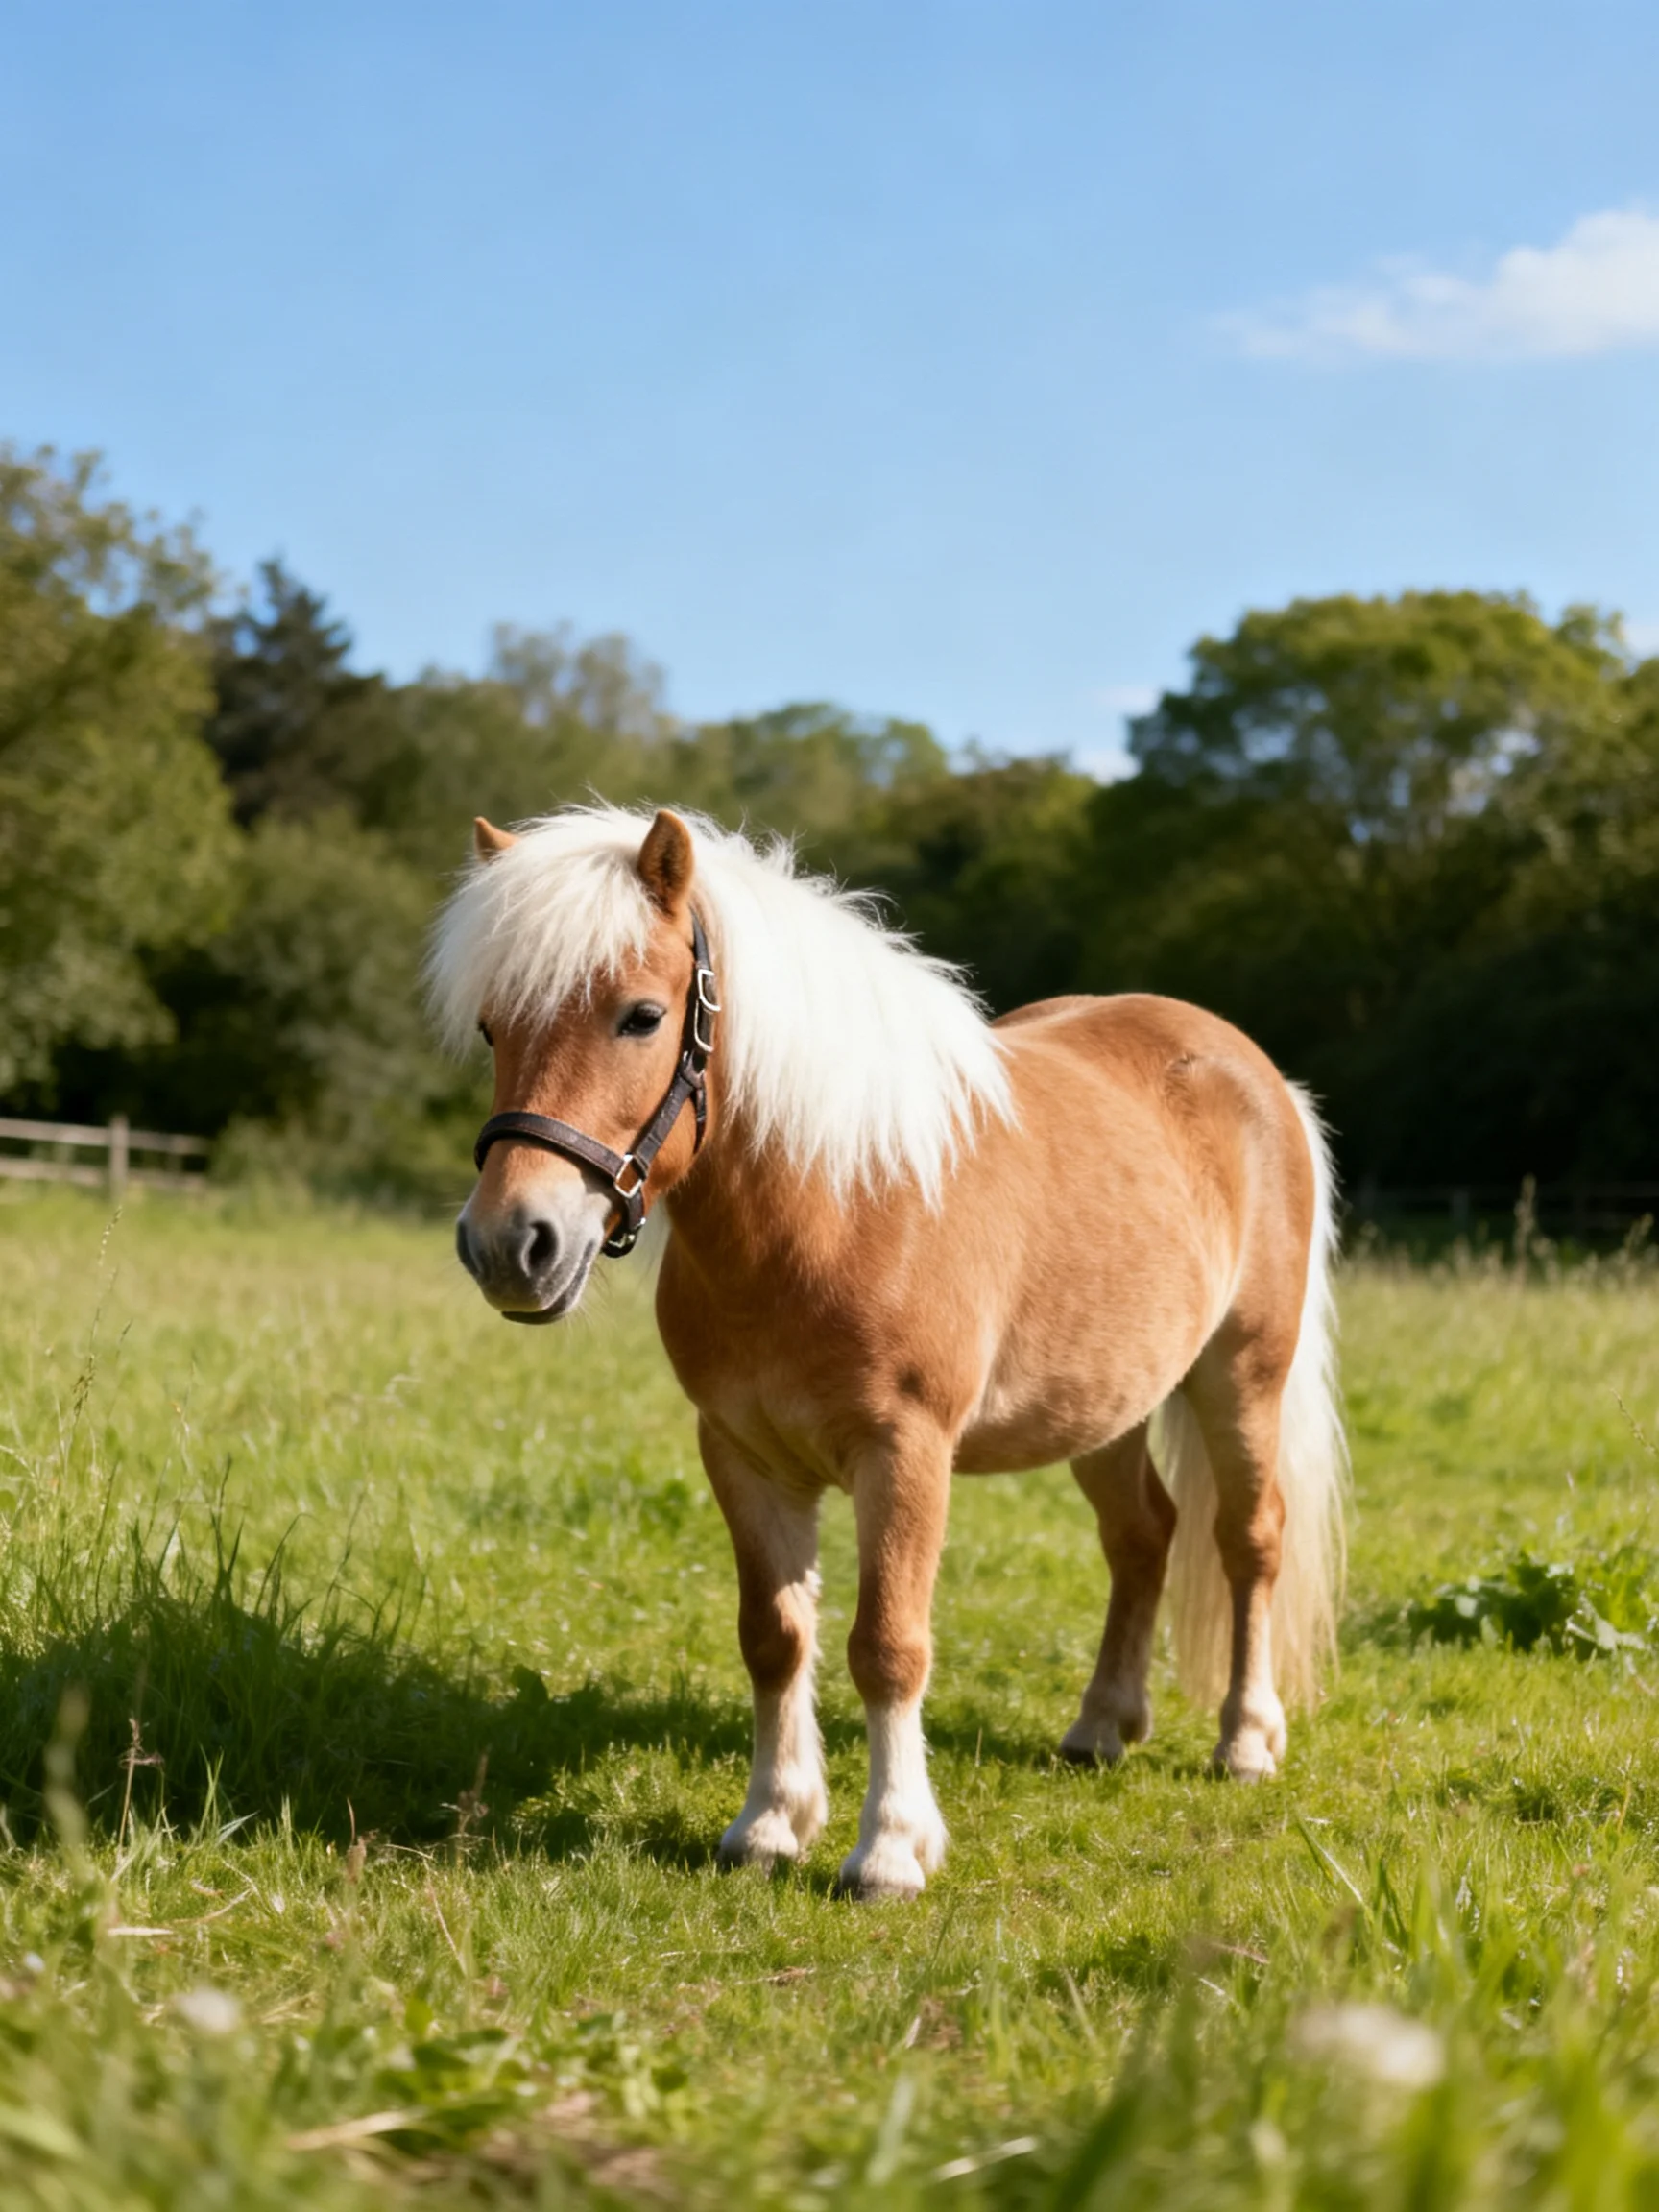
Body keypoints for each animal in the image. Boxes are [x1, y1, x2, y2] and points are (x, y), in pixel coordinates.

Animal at [431, 804, 1346, 1900]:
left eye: (641, 1017)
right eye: (494, 1028)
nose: (509, 1245)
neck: (833, 1208)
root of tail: (1256, 1072)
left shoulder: (904, 1452)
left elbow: (887, 1646)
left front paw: (889, 1849)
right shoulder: (742, 1456)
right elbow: (775, 1637)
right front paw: (769, 1825)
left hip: (1243, 1376)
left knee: (1248, 1540)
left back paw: (1245, 1741)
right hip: (1106, 1406)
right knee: (1142, 1536)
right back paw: (1099, 1728)